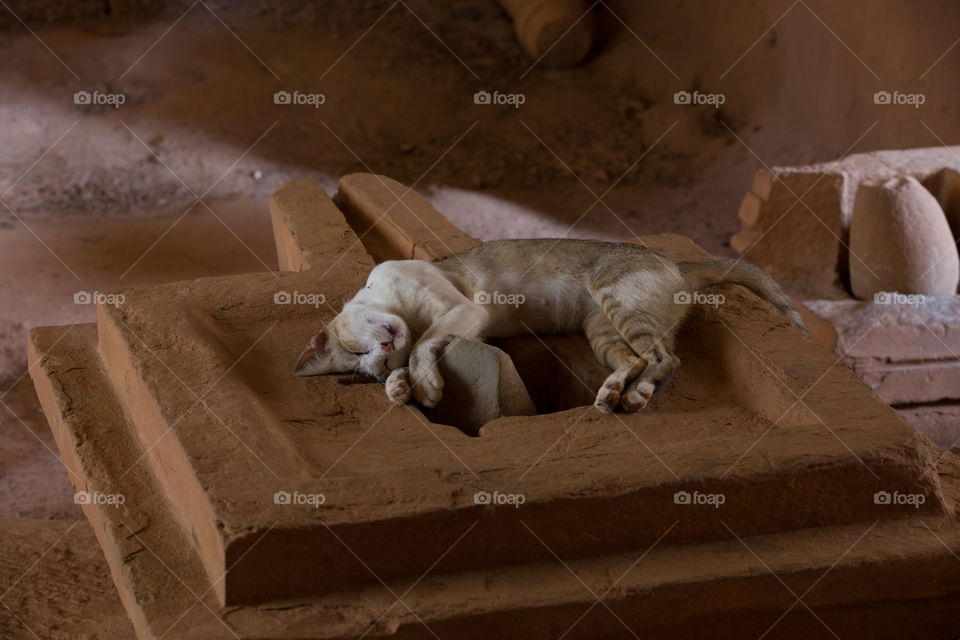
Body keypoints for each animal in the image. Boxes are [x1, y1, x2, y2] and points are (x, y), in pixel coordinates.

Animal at [292, 238, 804, 412]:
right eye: (370, 364)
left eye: (359, 353)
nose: (383, 353)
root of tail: (678, 265)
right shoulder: (469, 324)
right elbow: (423, 351)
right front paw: (402, 388)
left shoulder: (462, 310)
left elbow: (425, 345)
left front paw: (425, 385)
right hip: (602, 330)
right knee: (638, 360)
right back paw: (612, 395)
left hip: (616, 299)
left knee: (666, 359)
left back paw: (634, 397)